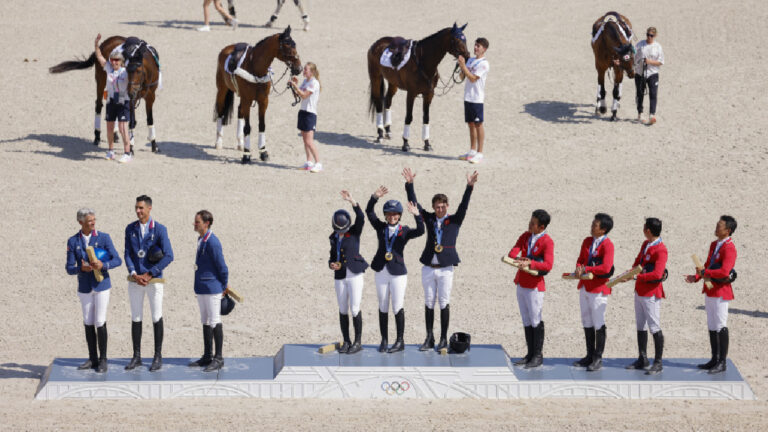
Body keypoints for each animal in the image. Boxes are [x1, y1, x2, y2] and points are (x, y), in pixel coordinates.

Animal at [216, 26, 304, 164]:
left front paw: (263, 153)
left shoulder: (263, 101)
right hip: (222, 90)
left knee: (239, 111)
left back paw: (240, 144)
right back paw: (219, 142)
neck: (256, 69)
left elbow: (262, 125)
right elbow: (247, 127)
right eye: (287, 45)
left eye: (294, 44)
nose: (299, 69)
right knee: (220, 111)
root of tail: (227, 49)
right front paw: (246, 155)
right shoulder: (247, 100)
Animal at [368, 23, 472, 153]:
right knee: (378, 102)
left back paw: (388, 131)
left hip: (393, 82)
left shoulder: (428, 94)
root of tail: (376, 44)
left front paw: (427, 144)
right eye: (456, 40)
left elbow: (426, 118)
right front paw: (405, 143)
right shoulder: (411, 94)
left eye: (465, 39)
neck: (423, 62)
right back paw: (380, 134)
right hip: (375, 78)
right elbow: (409, 117)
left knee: (387, 100)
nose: (467, 57)